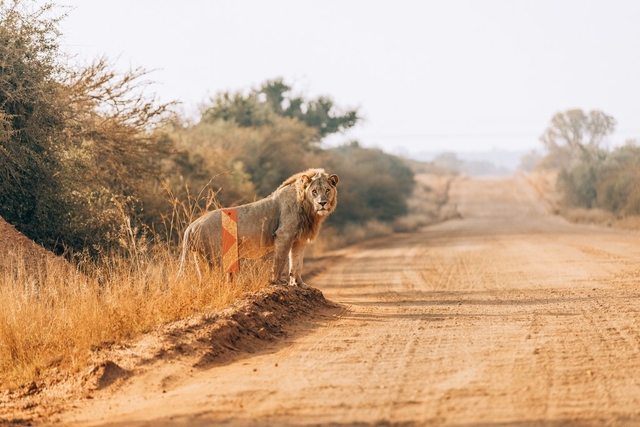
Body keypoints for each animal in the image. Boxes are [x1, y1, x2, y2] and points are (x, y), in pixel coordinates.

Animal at [178, 167, 338, 288]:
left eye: (327, 190)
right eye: (314, 191)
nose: (322, 203)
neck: (308, 208)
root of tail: (192, 225)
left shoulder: (299, 239)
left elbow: (297, 263)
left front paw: (299, 284)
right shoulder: (283, 234)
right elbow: (280, 260)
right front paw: (276, 281)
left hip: (200, 258)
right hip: (216, 257)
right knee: (214, 279)